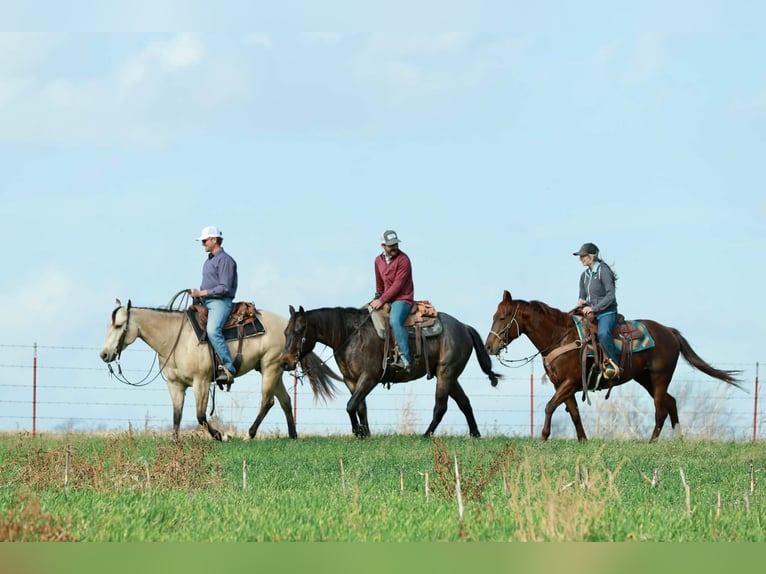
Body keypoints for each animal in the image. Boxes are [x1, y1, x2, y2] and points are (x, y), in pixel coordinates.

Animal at [99, 299, 339, 441]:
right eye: (108, 325)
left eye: (119, 326)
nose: (104, 355)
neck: (175, 338)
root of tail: (285, 326)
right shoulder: (175, 385)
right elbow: (177, 416)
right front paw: (175, 442)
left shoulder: (202, 382)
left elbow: (200, 415)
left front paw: (220, 436)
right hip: (274, 369)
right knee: (285, 401)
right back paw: (292, 436)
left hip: (270, 367)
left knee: (267, 401)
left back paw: (249, 435)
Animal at [278, 305, 502, 438]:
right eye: (285, 332)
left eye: (299, 331)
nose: (284, 362)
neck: (351, 335)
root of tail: (463, 327)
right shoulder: (351, 380)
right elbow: (360, 407)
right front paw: (365, 434)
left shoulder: (369, 378)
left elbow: (351, 405)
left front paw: (358, 432)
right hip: (449, 376)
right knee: (464, 402)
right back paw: (475, 434)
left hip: (446, 375)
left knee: (441, 407)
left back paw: (426, 435)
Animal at [485, 290, 743, 442]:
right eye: (494, 316)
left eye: (502, 317)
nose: (489, 346)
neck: (560, 337)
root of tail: (670, 332)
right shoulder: (562, 385)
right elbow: (574, 413)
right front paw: (583, 440)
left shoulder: (570, 383)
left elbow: (550, 407)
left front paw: (544, 436)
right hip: (646, 379)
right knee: (670, 402)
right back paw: (678, 438)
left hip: (660, 378)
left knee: (660, 409)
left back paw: (652, 442)